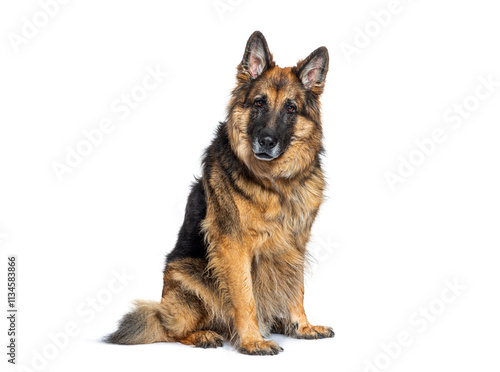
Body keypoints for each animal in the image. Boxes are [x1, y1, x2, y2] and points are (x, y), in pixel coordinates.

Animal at [104, 31, 332, 354]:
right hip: (187, 277)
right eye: (259, 103)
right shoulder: (233, 245)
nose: (266, 141)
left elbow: (296, 287)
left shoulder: (295, 243)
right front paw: (252, 340)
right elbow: (245, 296)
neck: (275, 182)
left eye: (290, 108)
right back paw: (205, 335)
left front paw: (302, 326)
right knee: (171, 328)